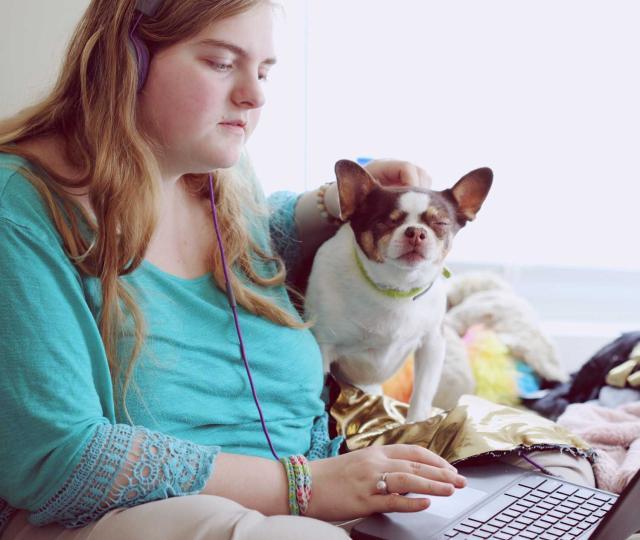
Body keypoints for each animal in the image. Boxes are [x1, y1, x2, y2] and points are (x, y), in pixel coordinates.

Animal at [302, 159, 492, 422]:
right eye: (385, 222)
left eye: (441, 223)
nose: (416, 231)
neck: (397, 290)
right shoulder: (324, 348)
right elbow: (320, 395)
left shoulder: (432, 344)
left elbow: (422, 394)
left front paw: (415, 424)